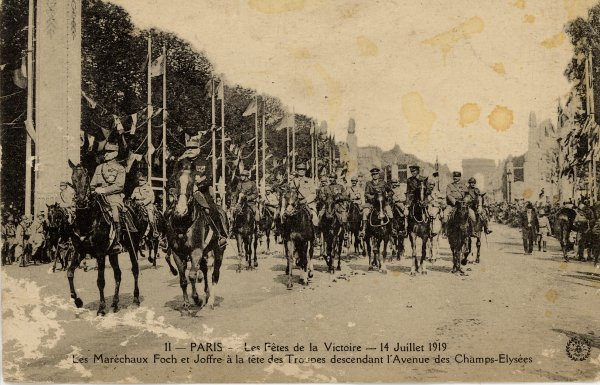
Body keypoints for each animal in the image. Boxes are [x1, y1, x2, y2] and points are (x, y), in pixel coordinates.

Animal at [66, 160, 144, 314]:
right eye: (73, 179)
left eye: (87, 179)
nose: (81, 202)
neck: (88, 221)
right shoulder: (79, 251)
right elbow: (70, 273)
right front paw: (77, 301)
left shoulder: (100, 254)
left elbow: (100, 281)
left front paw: (101, 308)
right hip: (113, 253)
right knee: (118, 274)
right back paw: (114, 303)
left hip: (133, 246)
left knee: (135, 270)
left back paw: (135, 299)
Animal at [165, 170, 226, 310]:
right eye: (176, 182)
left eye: (191, 184)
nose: (181, 210)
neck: (184, 223)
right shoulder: (177, 253)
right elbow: (183, 280)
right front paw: (186, 302)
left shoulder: (196, 251)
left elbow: (192, 275)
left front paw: (197, 299)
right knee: (204, 270)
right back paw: (206, 295)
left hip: (218, 250)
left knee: (214, 275)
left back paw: (210, 301)